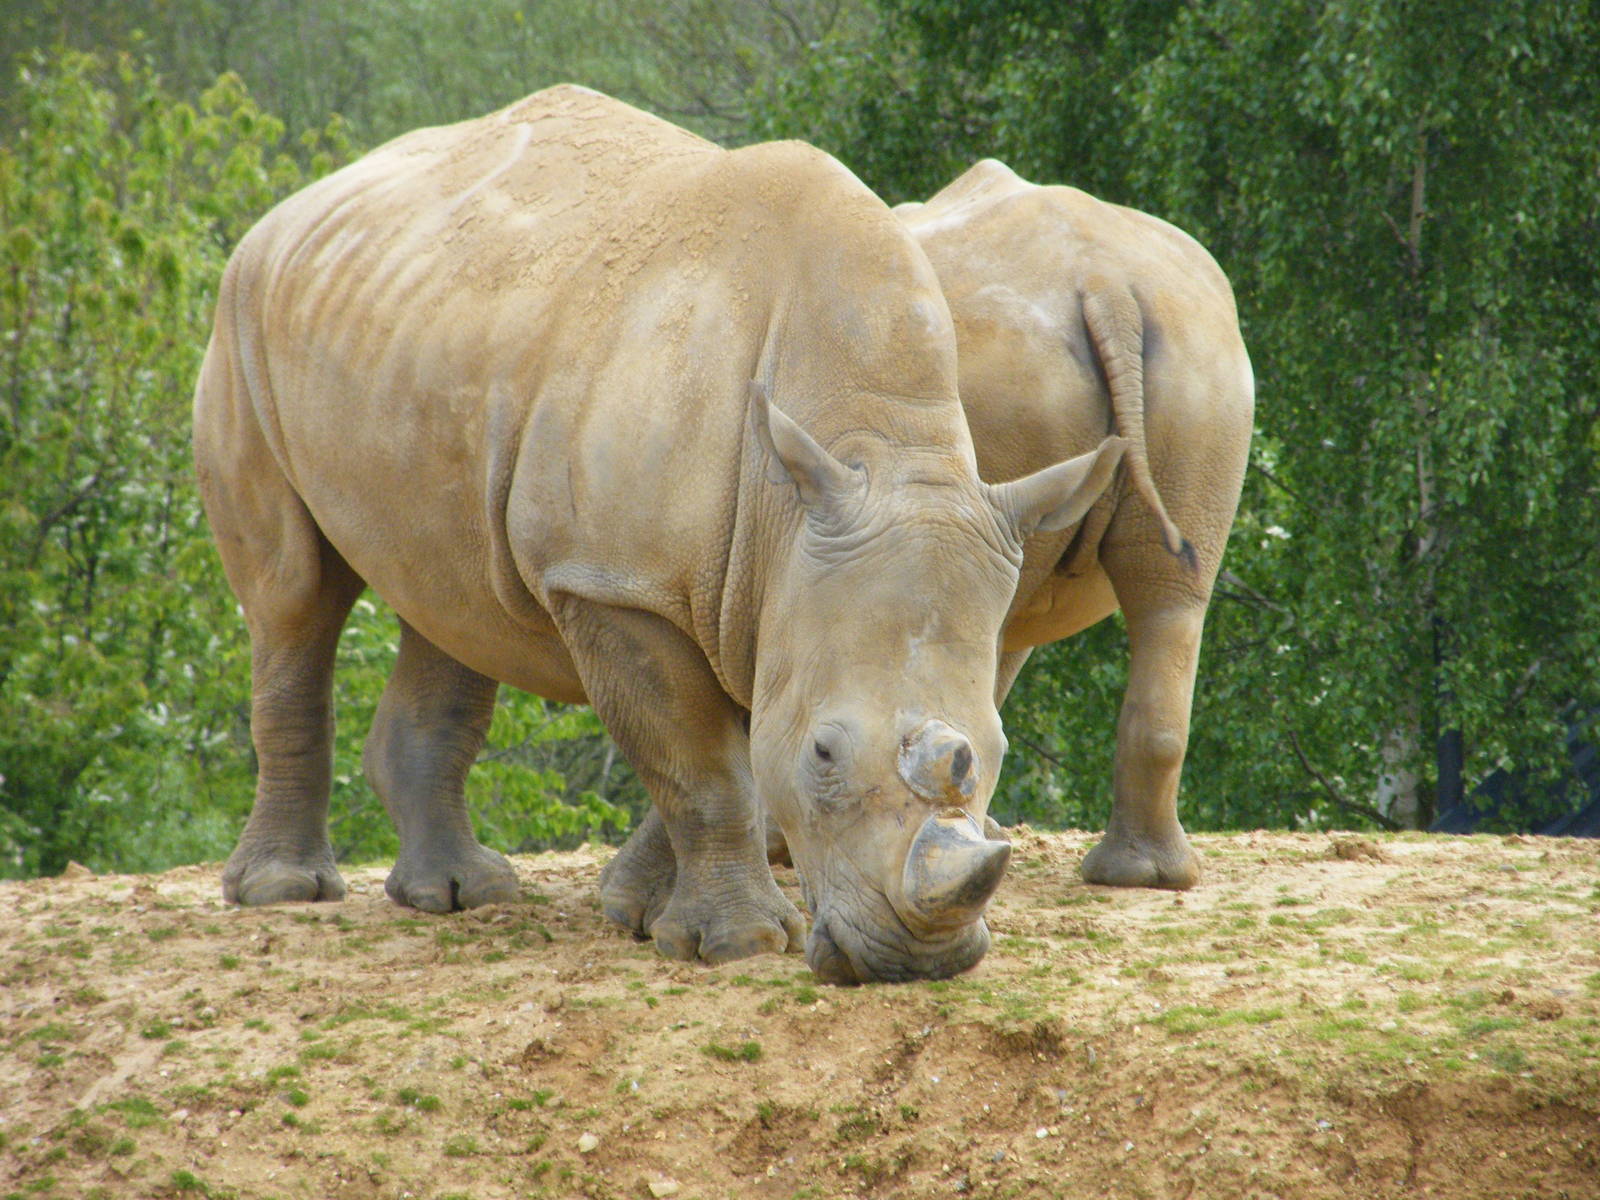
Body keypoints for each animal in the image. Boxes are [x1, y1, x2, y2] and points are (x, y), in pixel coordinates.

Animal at [193, 88, 1126, 984]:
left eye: (994, 752)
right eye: (825, 752)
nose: (914, 963)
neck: (867, 439)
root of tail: (294, 206)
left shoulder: (765, 574)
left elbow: (722, 751)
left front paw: (637, 911)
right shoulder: (614, 583)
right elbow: (706, 766)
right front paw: (740, 943)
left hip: (419, 323)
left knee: (451, 599)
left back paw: (459, 894)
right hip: (240, 317)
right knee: (294, 596)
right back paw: (285, 892)